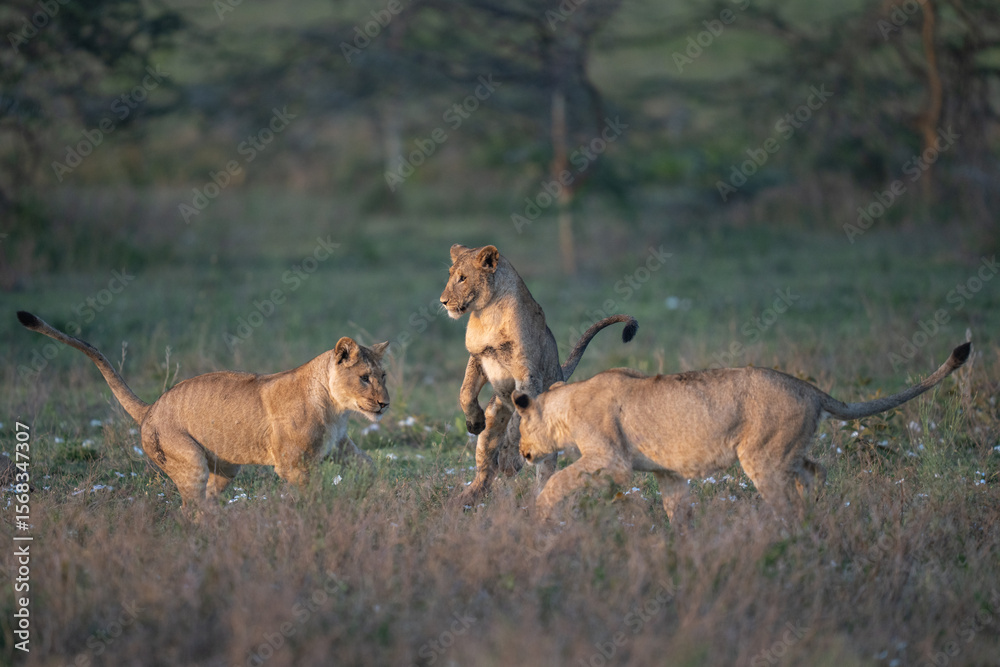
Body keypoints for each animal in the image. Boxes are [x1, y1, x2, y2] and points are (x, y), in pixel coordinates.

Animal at [17, 311, 389, 509]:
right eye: (364, 378)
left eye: (383, 376)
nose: (385, 403)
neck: (336, 407)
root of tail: (150, 408)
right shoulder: (291, 464)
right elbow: (312, 492)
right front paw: (318, 513)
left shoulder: (339, 446)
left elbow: (370, 467)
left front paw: (371, 494)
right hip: (189, 460)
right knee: (190, 513)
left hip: (226, 468)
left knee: (207, 503)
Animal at [440, 244, 638, 504]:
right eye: (450, 274)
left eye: (462, 278)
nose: (443, 301)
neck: (487, 314)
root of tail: (562, 374)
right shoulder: (478, 357)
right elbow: (464, 393)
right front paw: (474, 422)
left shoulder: (528, 376)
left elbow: (516, 424)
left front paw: (510, 460)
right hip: (492, 424)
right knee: (486, 469)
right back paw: (464, 499)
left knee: (544, 471)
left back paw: (537, 498)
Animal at [513, 342, 971, 521]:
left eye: (519, 433)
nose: (522, 454)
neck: (565, 404)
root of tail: (809, 388)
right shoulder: (668, 472)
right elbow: (677, 509)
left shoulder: (611, 460)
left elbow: (560, 480)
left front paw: (539, 512)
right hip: (786, 451)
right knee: (816, 469)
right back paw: (815, 513)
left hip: (762, 457)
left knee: (787, 501)